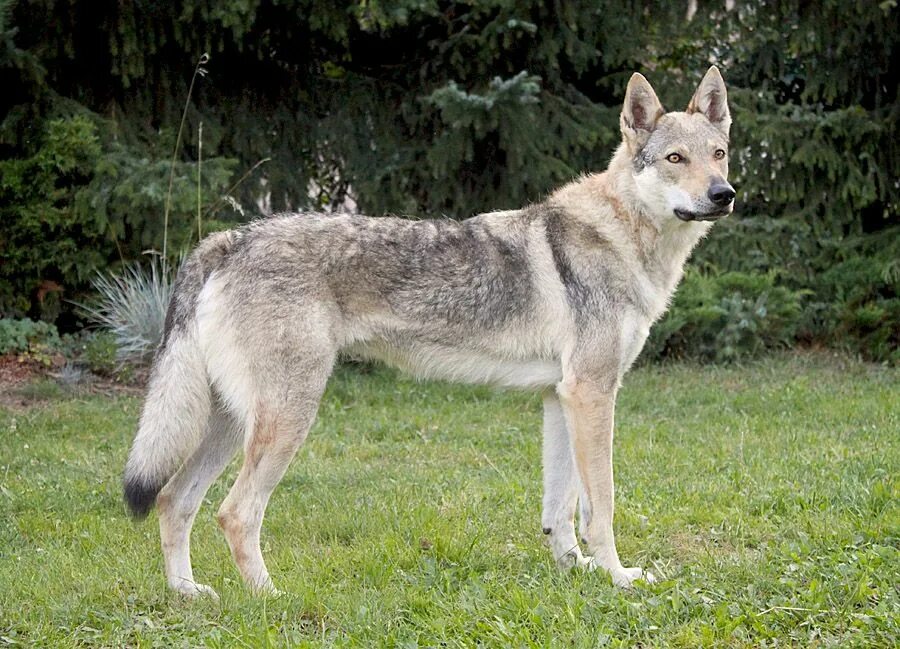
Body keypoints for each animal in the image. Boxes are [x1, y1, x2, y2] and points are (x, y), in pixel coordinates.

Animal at [123, 67, 736, 596]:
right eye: (675, 158)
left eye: (719, 155)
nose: (723, 195)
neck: (624, 235)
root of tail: (229, 239)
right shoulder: (593, 393)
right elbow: (601, 505)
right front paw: (619, 578)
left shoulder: (560, 397)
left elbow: (559, 510)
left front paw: (574, 571)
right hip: (286, 418)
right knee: (234, 512)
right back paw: (270, 598)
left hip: (231, 422)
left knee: (173, 500)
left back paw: (187, 594)